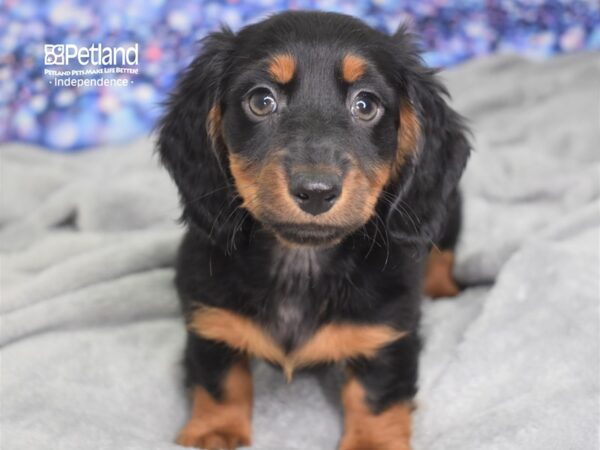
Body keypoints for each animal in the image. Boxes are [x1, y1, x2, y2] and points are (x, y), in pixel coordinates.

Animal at [157, 10, 472, 450]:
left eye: (366, 104)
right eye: (261, 100)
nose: (316, 192)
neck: (300, 261)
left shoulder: (387, 334)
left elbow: (375, 396)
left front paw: (372, 443)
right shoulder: (209, 321)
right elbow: (221, 381)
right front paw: (214, 432)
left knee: (443, 252)